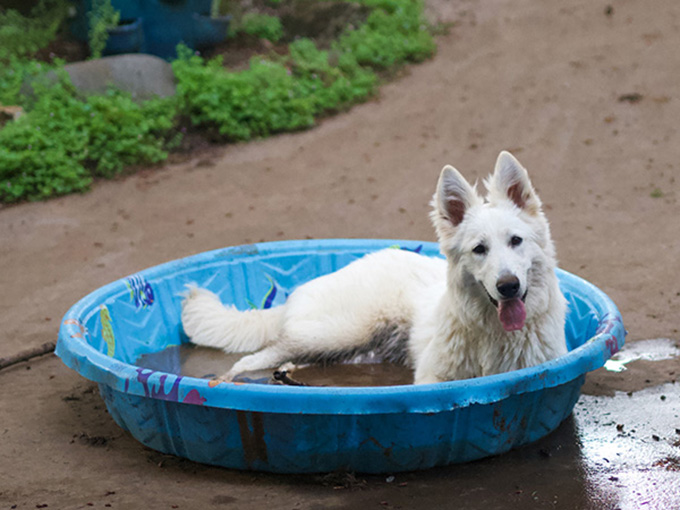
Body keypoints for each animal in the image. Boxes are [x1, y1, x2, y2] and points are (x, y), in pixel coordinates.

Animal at [181, 153, 568, 384]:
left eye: (515, 240)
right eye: (479, 249)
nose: (508, 286)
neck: (494, 336)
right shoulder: (433, 381)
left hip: (342, 350)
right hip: (338, 334)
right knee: (251, 360)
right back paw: (226, 381)